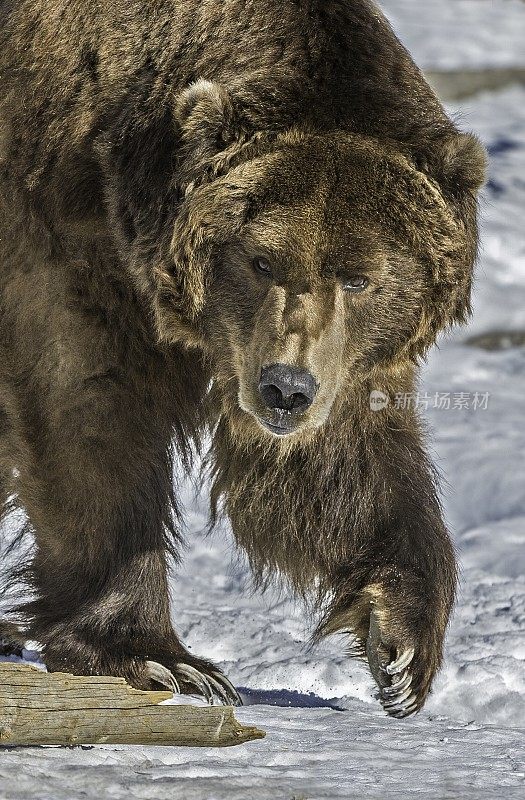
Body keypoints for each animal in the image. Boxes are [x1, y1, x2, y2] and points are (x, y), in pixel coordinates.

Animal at [0, 0, 486, 720]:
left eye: (359, 277)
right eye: (261, 260)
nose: (285, 389)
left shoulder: (324, 355)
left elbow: (343, 456)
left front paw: (401, 639)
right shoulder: (62, 232)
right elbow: (86, 409)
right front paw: (157, 654)